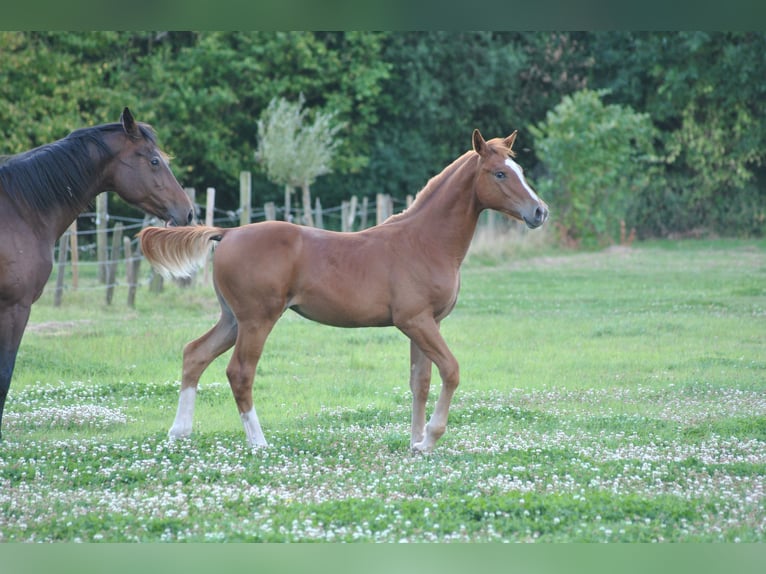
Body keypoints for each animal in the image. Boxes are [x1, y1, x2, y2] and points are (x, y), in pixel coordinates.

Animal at [139, 129, 548, 453]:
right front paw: (430, 438)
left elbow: (420, 382)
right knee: (239, 372)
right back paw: (259, 443)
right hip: (257, 320)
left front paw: (415, 444)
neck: (423, 241)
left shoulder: (427, 323)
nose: (539, 212)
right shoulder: (415, 321)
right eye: (499, 173)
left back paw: (179, 433)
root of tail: (227, 233)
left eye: (520, 171)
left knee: (195, 354)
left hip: (232, 319)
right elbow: (451, 370)